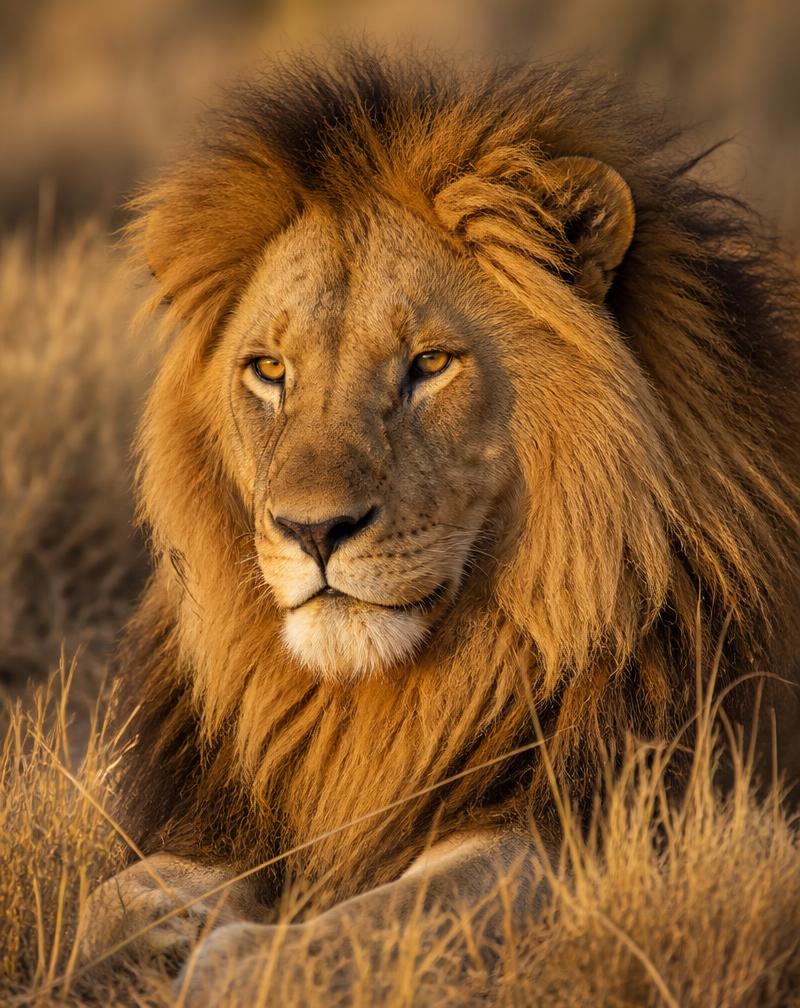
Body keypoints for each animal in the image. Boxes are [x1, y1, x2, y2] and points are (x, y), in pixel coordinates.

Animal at [81, 53, 800, 999]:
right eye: (269, 370)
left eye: (429, 364)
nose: (313, 531)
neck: (374, 709)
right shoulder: (234, 816)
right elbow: (105, 902)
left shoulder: (604, 822)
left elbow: (378, 921)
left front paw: (230, 968)